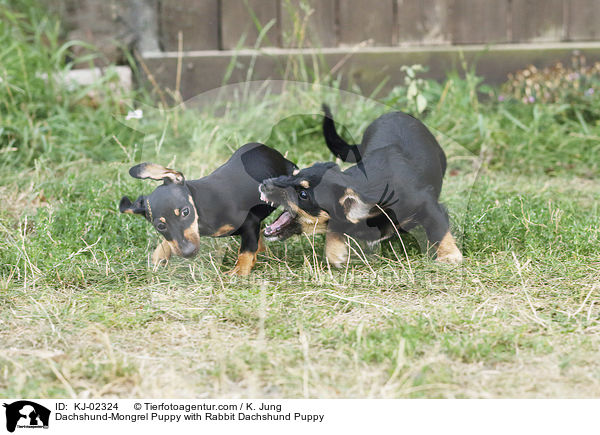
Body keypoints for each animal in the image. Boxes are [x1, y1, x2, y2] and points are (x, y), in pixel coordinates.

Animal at [120, 141, 298, 274]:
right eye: (160, 226)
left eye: (185, 212)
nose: (188, 252)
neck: (202, 207)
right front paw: (160, 254)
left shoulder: (250, 222)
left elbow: (246, 251)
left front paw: (239, 272)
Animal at [258, 106, 464, 266]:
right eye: (293, 174)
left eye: (303, 194)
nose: (263, 184)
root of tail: (395, 112)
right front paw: (335, 253)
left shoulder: (428, 203)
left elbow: (438, 229)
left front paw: (449, 256)